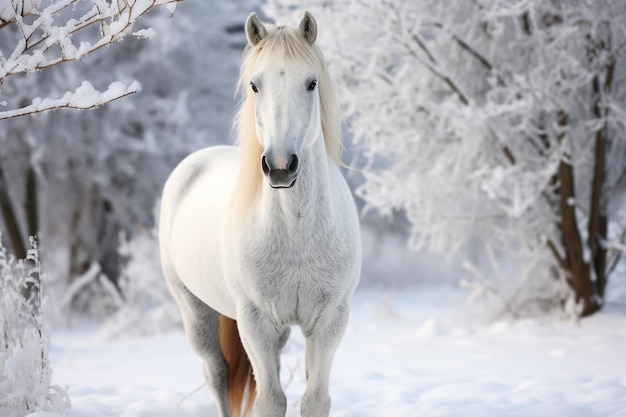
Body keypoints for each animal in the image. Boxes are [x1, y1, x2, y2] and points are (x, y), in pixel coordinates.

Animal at [157, 9, 360, 416]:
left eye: (311, 83)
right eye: (254, 85)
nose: (281, 167)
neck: (297, 233)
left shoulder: (330, 321)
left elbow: (315, 399)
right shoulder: (255, 322)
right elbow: (270, 400)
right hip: (196, 312)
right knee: (218, 376)